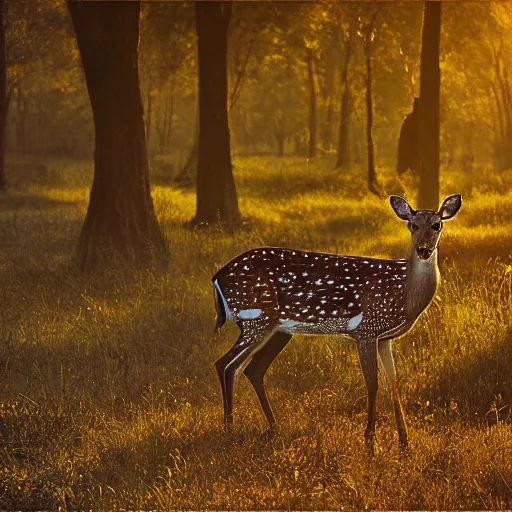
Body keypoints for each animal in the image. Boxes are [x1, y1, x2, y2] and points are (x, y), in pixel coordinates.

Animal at [210, 194, 462, 450]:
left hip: (278, 328)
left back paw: (272, 427)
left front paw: (404, 442)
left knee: (251, 369)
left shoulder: (384, 337)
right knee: (226, 364)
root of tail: (216, 277)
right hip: (256, 318)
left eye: (436, 225)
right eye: (412, 225)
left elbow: (393, 382)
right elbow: (373, 383)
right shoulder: (366, 329)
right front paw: (371, 441)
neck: (404, 297)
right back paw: (229, 429)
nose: (423, 250)